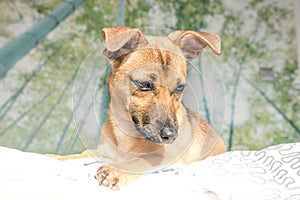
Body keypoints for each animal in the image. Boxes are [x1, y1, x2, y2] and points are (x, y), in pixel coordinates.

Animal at [89, 25, 227, 190]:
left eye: (180, 87)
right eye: (145, 85)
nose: (171, 136)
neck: (125, 132)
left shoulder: (166, 156)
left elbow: (139, 160)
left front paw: (115, 170)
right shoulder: (100, 152)